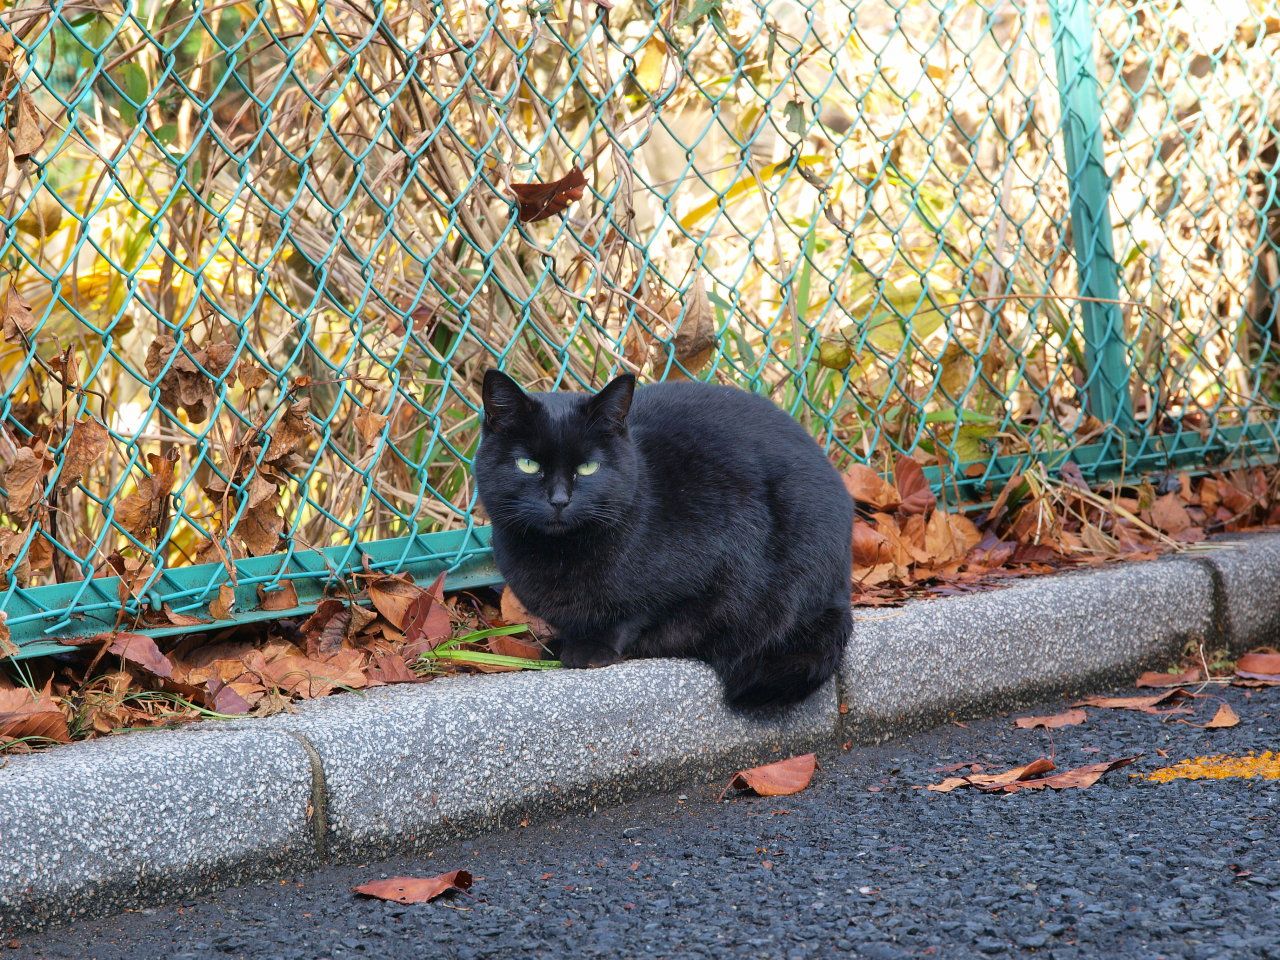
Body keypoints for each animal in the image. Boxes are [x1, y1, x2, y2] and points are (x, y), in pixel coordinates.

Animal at [473, 369, 853, 710]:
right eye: (527, 464)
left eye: (588, 468)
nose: (559, 500)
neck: (561, 555)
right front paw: (561, 643)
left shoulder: (721, 557)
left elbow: (637, 612)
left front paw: (591, 648)